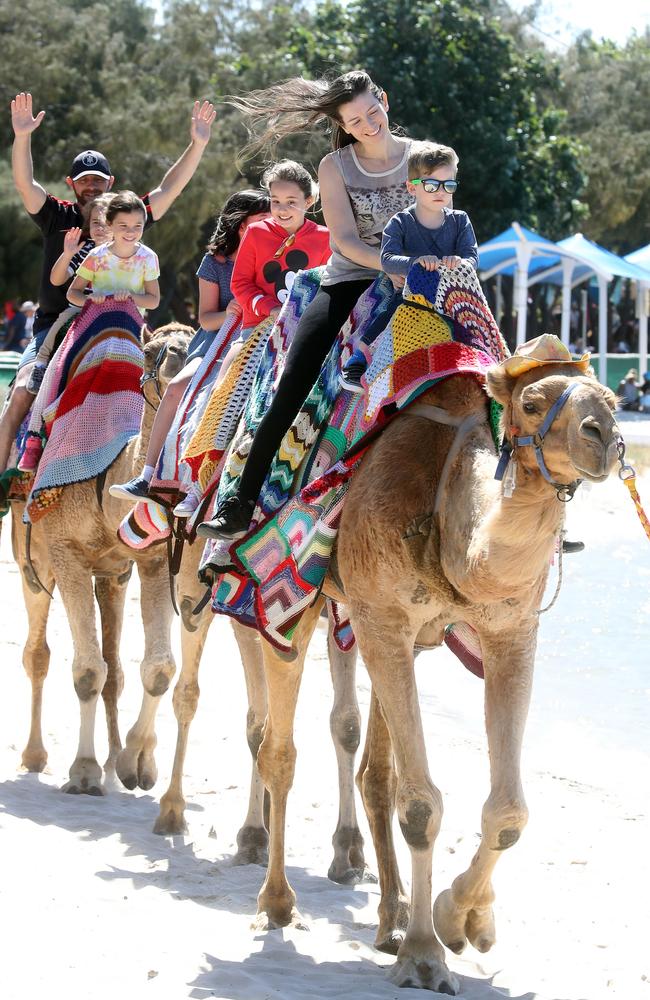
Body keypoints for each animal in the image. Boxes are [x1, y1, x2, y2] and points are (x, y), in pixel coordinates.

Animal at [248, 354, 616, 992]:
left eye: (613, 400)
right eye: (531, 404)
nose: (607, 436)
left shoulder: (508, 630)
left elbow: (509, 811)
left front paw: (462, 920)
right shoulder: (382, 618)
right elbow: (420, 804)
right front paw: (424, 955)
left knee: (373, 770)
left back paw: (389, 914)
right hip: (293, 602)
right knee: (278, 747)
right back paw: (278, 901)